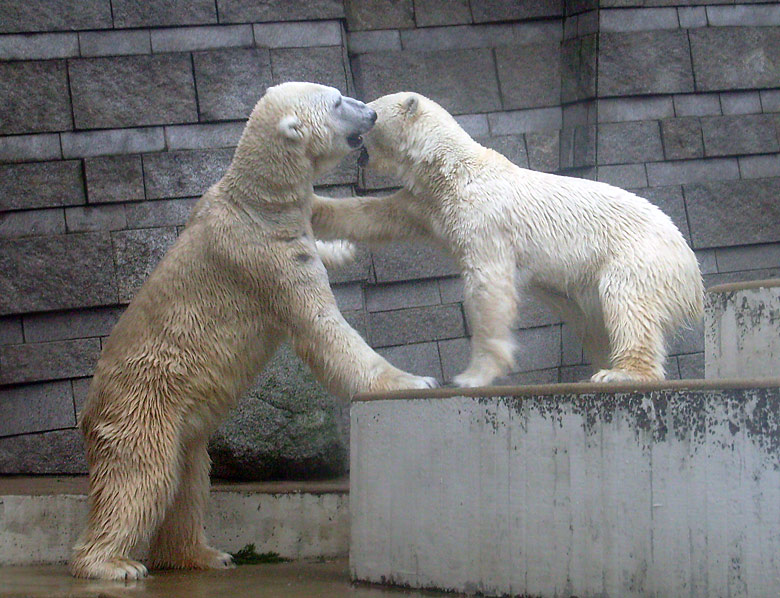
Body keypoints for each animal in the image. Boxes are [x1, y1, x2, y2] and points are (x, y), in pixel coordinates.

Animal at [69, 83, 436, 580]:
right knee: (140, 479)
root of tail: (89, 413)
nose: (372, 114)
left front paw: (341, 248)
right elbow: (323, 330)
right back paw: (112, 564)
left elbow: (320, 234)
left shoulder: (284, 231)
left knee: (188, 482)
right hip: (143, 406)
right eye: (338, 101)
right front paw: (412, 380)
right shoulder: (263, 257)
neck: (257, 203)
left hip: (180, 425)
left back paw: (202, 554)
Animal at [312, 91, 708, 386]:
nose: (363, 116)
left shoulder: (483, 219)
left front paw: (472, 376)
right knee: (593, 323)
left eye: (372, 108)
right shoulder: (427, 205)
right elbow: (374, 216)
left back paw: (620, 373)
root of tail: (692, 269)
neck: (450, 170)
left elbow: (489, 286)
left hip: (638, 257)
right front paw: (314, 210)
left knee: (627, 304)